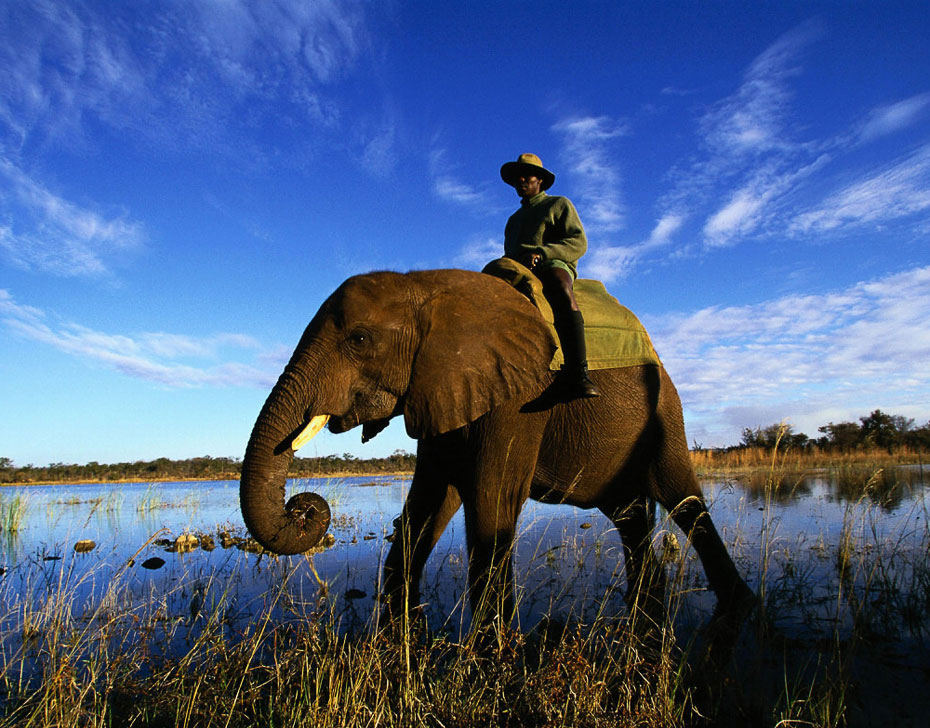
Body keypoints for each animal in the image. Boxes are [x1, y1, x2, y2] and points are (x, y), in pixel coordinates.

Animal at [236, 266, 752, 632]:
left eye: (359, 339)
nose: (302, 506)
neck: (427, 286)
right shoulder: (440, 388)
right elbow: (428, 501)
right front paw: (402, 618)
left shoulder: (520, 399)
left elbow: (491, 497)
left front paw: (494, 642)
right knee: (629, 514)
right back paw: (644, 602)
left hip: (666, 415)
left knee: (685, 502)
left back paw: (737, 604)